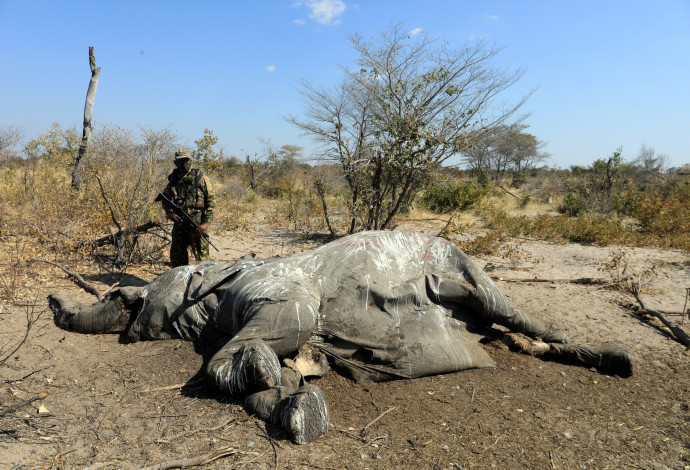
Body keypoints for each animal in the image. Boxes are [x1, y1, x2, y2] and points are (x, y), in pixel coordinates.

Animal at [47, 231, 628, 444]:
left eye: (131, 298)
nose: (129, 328)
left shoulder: (279, 289)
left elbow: (272, 335)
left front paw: (262, 375)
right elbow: (289, 368)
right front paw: (292, 404)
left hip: (464, 267)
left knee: (509, 311)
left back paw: (610, 358)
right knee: (507, 337)